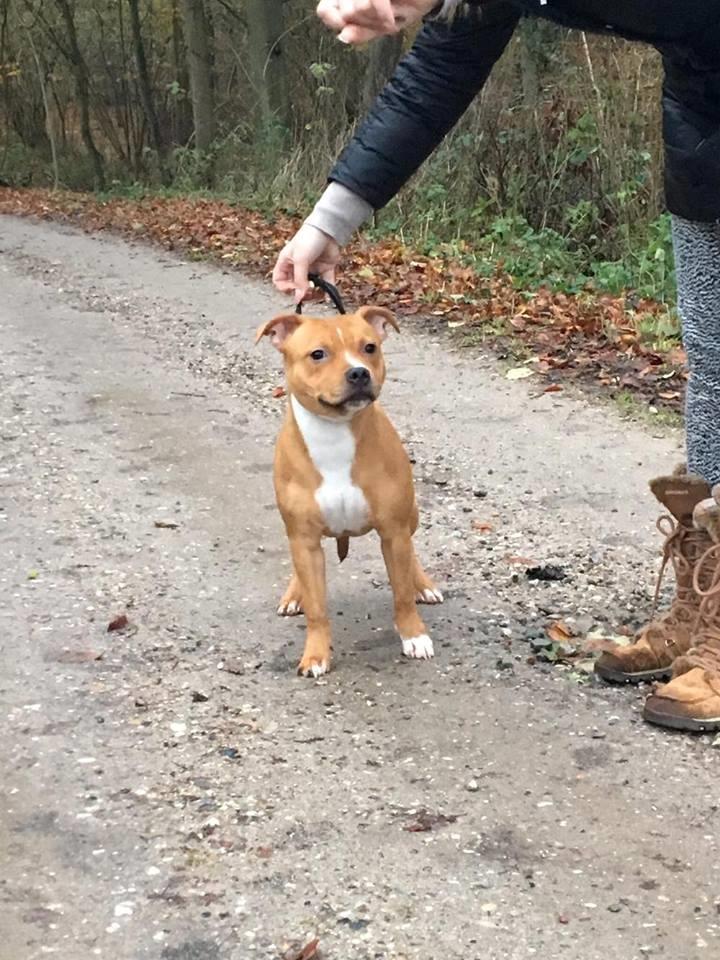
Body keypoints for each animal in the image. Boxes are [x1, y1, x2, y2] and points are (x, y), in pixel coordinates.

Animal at [256, 306, 442, 676]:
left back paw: (423, 585)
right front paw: (315, 655)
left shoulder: (394, 531)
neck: (334, 436)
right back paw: (295, 593)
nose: (358, 372)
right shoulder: (304, 538)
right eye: (317, 354)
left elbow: (401, 593)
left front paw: (414, 636)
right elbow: (317, 609)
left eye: (369, 347)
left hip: (411, 515)